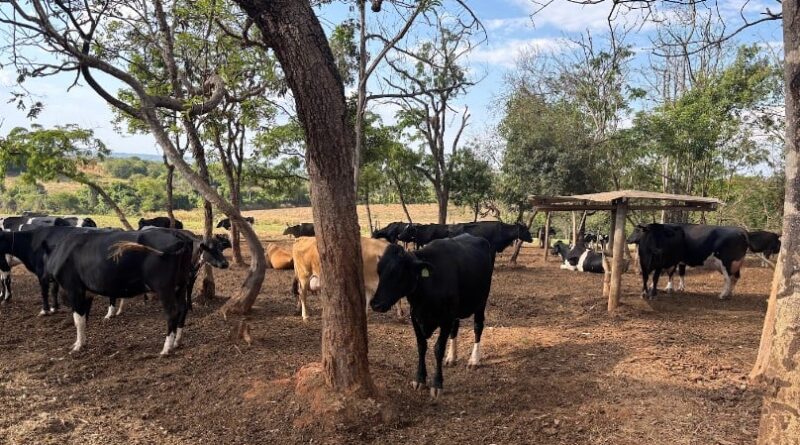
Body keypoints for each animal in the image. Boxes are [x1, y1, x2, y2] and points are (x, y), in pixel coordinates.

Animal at [46, 229, 197, 354]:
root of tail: (178, 235)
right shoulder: (87, 292)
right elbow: (84, 318)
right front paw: (82, 342)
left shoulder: (74, 289)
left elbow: (78, 320)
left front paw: (77, 346)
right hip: (181, 284)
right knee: (182, 308)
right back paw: (177, 341)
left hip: (164, 287)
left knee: (172, 312)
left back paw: (166, 348)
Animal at [370, 234, 495, 399]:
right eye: (378, 271)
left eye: (398, 273)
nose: (375, 304)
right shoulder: (415, 317)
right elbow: (421, 346)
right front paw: (420, 379)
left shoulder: (446, 318)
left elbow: (438, 349)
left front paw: (437, 384)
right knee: (455, 329)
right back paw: (451, 357)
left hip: (481, 300)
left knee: (478, 327)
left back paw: (474, 360)